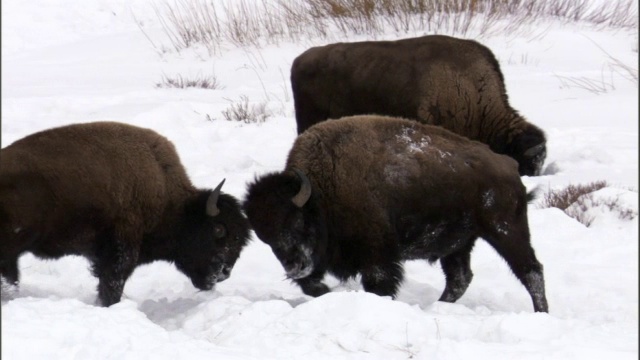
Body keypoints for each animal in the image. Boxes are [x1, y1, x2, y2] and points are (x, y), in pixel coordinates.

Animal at [245, 114, 552, 312]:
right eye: (266, 238)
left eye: (296, 222)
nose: (294, 267)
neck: (320, 191)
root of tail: (509, 166)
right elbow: (311, 285)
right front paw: (324, 293)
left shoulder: (378, 257)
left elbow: (379, 284)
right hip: (459, 244)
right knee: (459, 278)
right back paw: (436, 308)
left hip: (506, 231)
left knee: (531, 271)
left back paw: (542, 312)